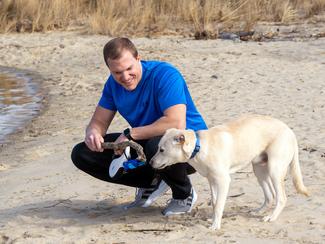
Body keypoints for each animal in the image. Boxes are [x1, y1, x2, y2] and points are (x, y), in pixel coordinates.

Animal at [149, 115, 306, 230]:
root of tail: (290, 131)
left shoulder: (223, 181)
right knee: (270, 196)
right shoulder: (212, 180)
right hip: (259, 169)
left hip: (274, 169)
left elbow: (219, 205)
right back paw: (258, 211)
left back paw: (271, 217)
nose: (150, 163)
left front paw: (215, 225)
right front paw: (212, 220)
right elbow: (214, 203)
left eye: (162, 150)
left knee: (281, 198)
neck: (200, 147)